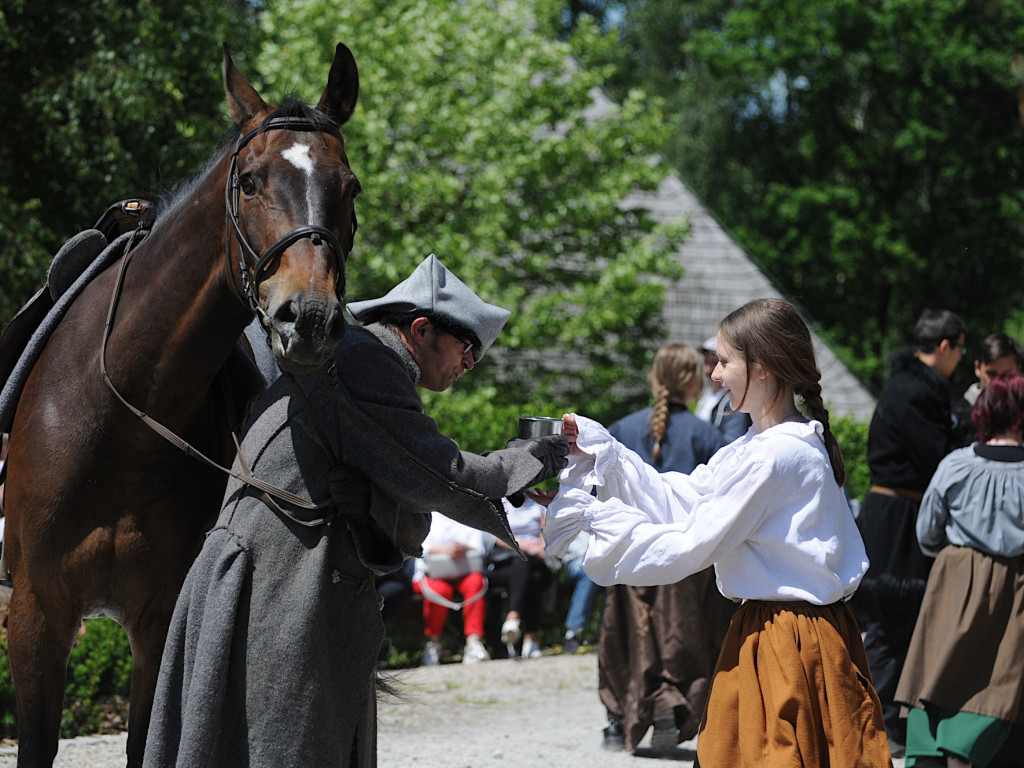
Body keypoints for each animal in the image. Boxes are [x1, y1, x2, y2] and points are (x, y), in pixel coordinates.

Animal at [2, 43, 362, 768]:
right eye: (249, 180)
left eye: (351, 189)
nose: (309, 319)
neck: (117, 426)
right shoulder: (37, 618)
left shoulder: (157, 617)